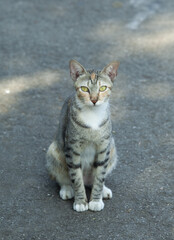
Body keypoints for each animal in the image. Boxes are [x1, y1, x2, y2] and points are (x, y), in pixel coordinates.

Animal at [46, 59, 119, 212]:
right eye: (84, 89)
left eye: (103, 88)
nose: (94, 99)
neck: (93, 115)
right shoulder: (72, 148)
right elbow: (77, 178)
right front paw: (80, 202)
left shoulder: (104, 147)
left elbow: (100, 176)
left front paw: (96, 200)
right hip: (53, 151)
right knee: (64, 178)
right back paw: (67, 189)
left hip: (113, 149)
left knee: (96, 179)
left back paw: (103, 190)